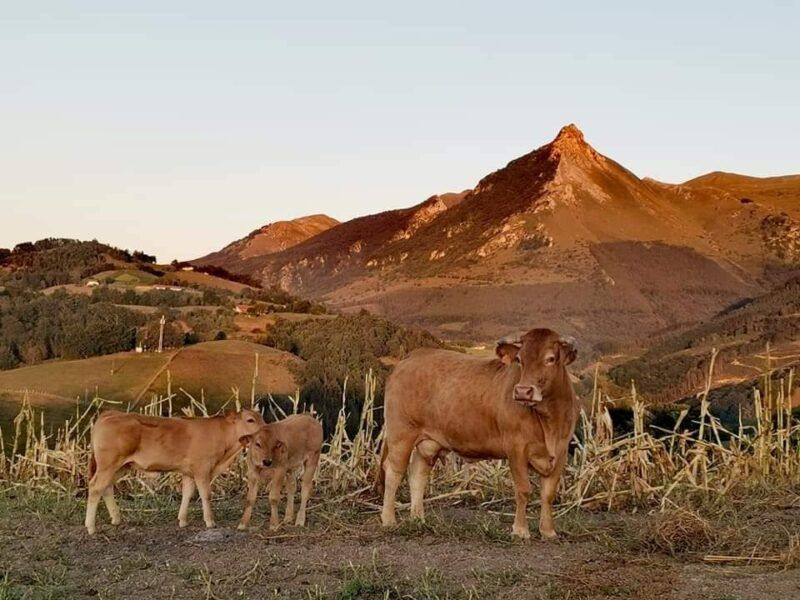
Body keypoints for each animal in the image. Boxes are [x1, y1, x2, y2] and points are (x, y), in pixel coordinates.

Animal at [85, 408, 265, 535]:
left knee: (106, 488)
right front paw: (210, 522)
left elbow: (187, 493)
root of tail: (110, 413)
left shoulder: (189, 472)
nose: (266, 429)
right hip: (108, 464)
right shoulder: (202, 468)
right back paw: (91, 527)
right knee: (95, 487)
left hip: (120, 466)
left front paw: (182, 520)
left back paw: (115, 518)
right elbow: (205, 495)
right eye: (250, 419)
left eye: (261, 418)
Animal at [377, 328, 578, 540]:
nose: (523, 391)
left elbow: (548, 493)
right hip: (401, 433)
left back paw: (418, 518)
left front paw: (548, 531)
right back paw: (389, 519)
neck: (549, 423)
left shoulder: (561, 451)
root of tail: (413, 356)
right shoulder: (516, 448)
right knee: (393, 471)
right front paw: (520, 530)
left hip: (429, 442)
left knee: (417, 473)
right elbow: (523, 489)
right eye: (520, 359)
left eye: (550, 359)